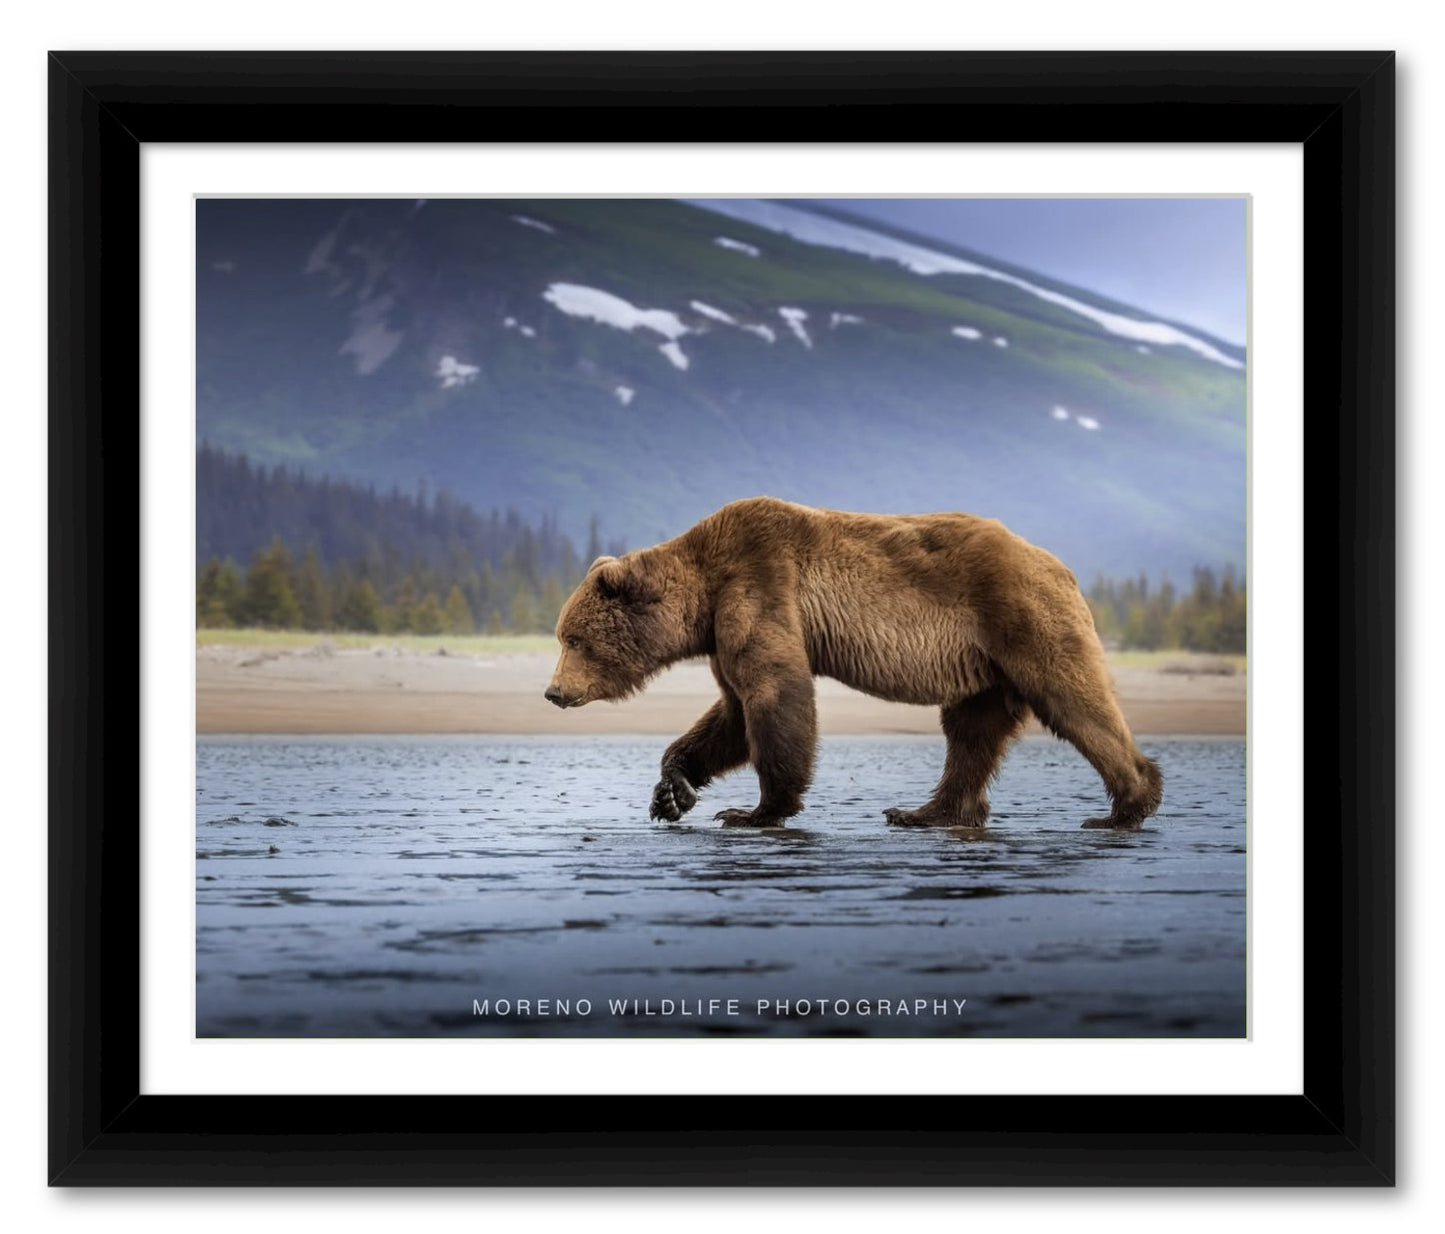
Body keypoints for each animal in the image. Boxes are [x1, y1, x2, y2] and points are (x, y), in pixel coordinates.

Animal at [545, 496, 1163, 831]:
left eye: (573, 639)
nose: (552, 693)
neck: (703, 590)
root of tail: (1061, 565)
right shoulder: (723, 629)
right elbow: (731, 714)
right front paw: (672, 792)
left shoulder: (759, 583)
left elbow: (774, 695)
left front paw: (755, 810)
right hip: (985, 665)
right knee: (971, 733)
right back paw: (924, 812)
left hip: (1021, 618)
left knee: (1073, 699)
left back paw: (1126, 805)